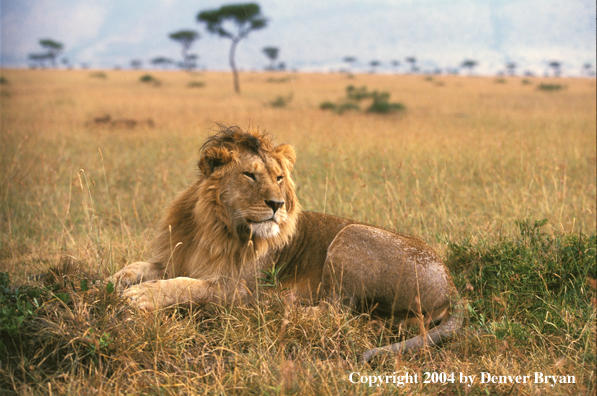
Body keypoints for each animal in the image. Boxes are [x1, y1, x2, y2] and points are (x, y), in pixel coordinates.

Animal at [112, 126, 466, 362]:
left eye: (279, 178)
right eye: (249, 175)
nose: (277, 204)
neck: (210, 227)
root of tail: (452, 285)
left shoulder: (237, 287)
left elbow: (185, 285)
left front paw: (141, 296)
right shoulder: (175, 258)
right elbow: (136, 267)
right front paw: (113, 282)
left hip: (351, 235)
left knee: (335, 313)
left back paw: (276, 307)